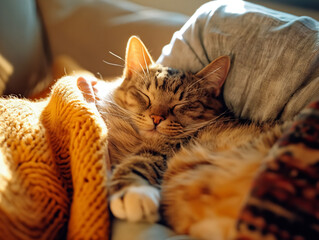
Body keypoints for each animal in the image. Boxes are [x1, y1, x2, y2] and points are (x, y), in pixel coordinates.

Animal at [77, 36, 290, 239]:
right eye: (145, 96)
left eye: (181, 104)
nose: (156, 118)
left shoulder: (162, 151)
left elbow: (139, 162)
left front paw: (133, 192)